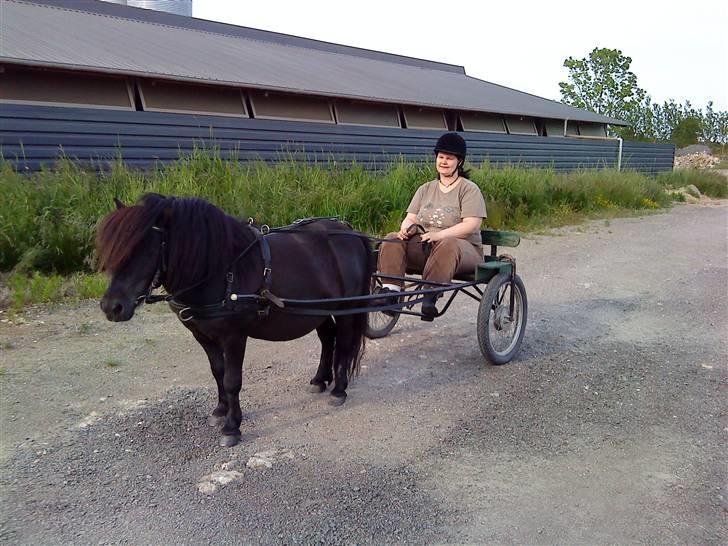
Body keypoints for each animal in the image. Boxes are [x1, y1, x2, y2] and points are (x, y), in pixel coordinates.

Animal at [96, 193, 372, 444]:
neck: (220, 269)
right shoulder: (202, 334)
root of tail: (350, 233)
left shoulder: (234, 336)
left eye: (147, 249)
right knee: (328, 339)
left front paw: (232, 427)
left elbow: (232, 380)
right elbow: (217, 371)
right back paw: (319, 380)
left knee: (343, 343)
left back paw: (338, 390)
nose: (112, 307)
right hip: (317, 310)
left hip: (347, 308)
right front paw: (221, 411)